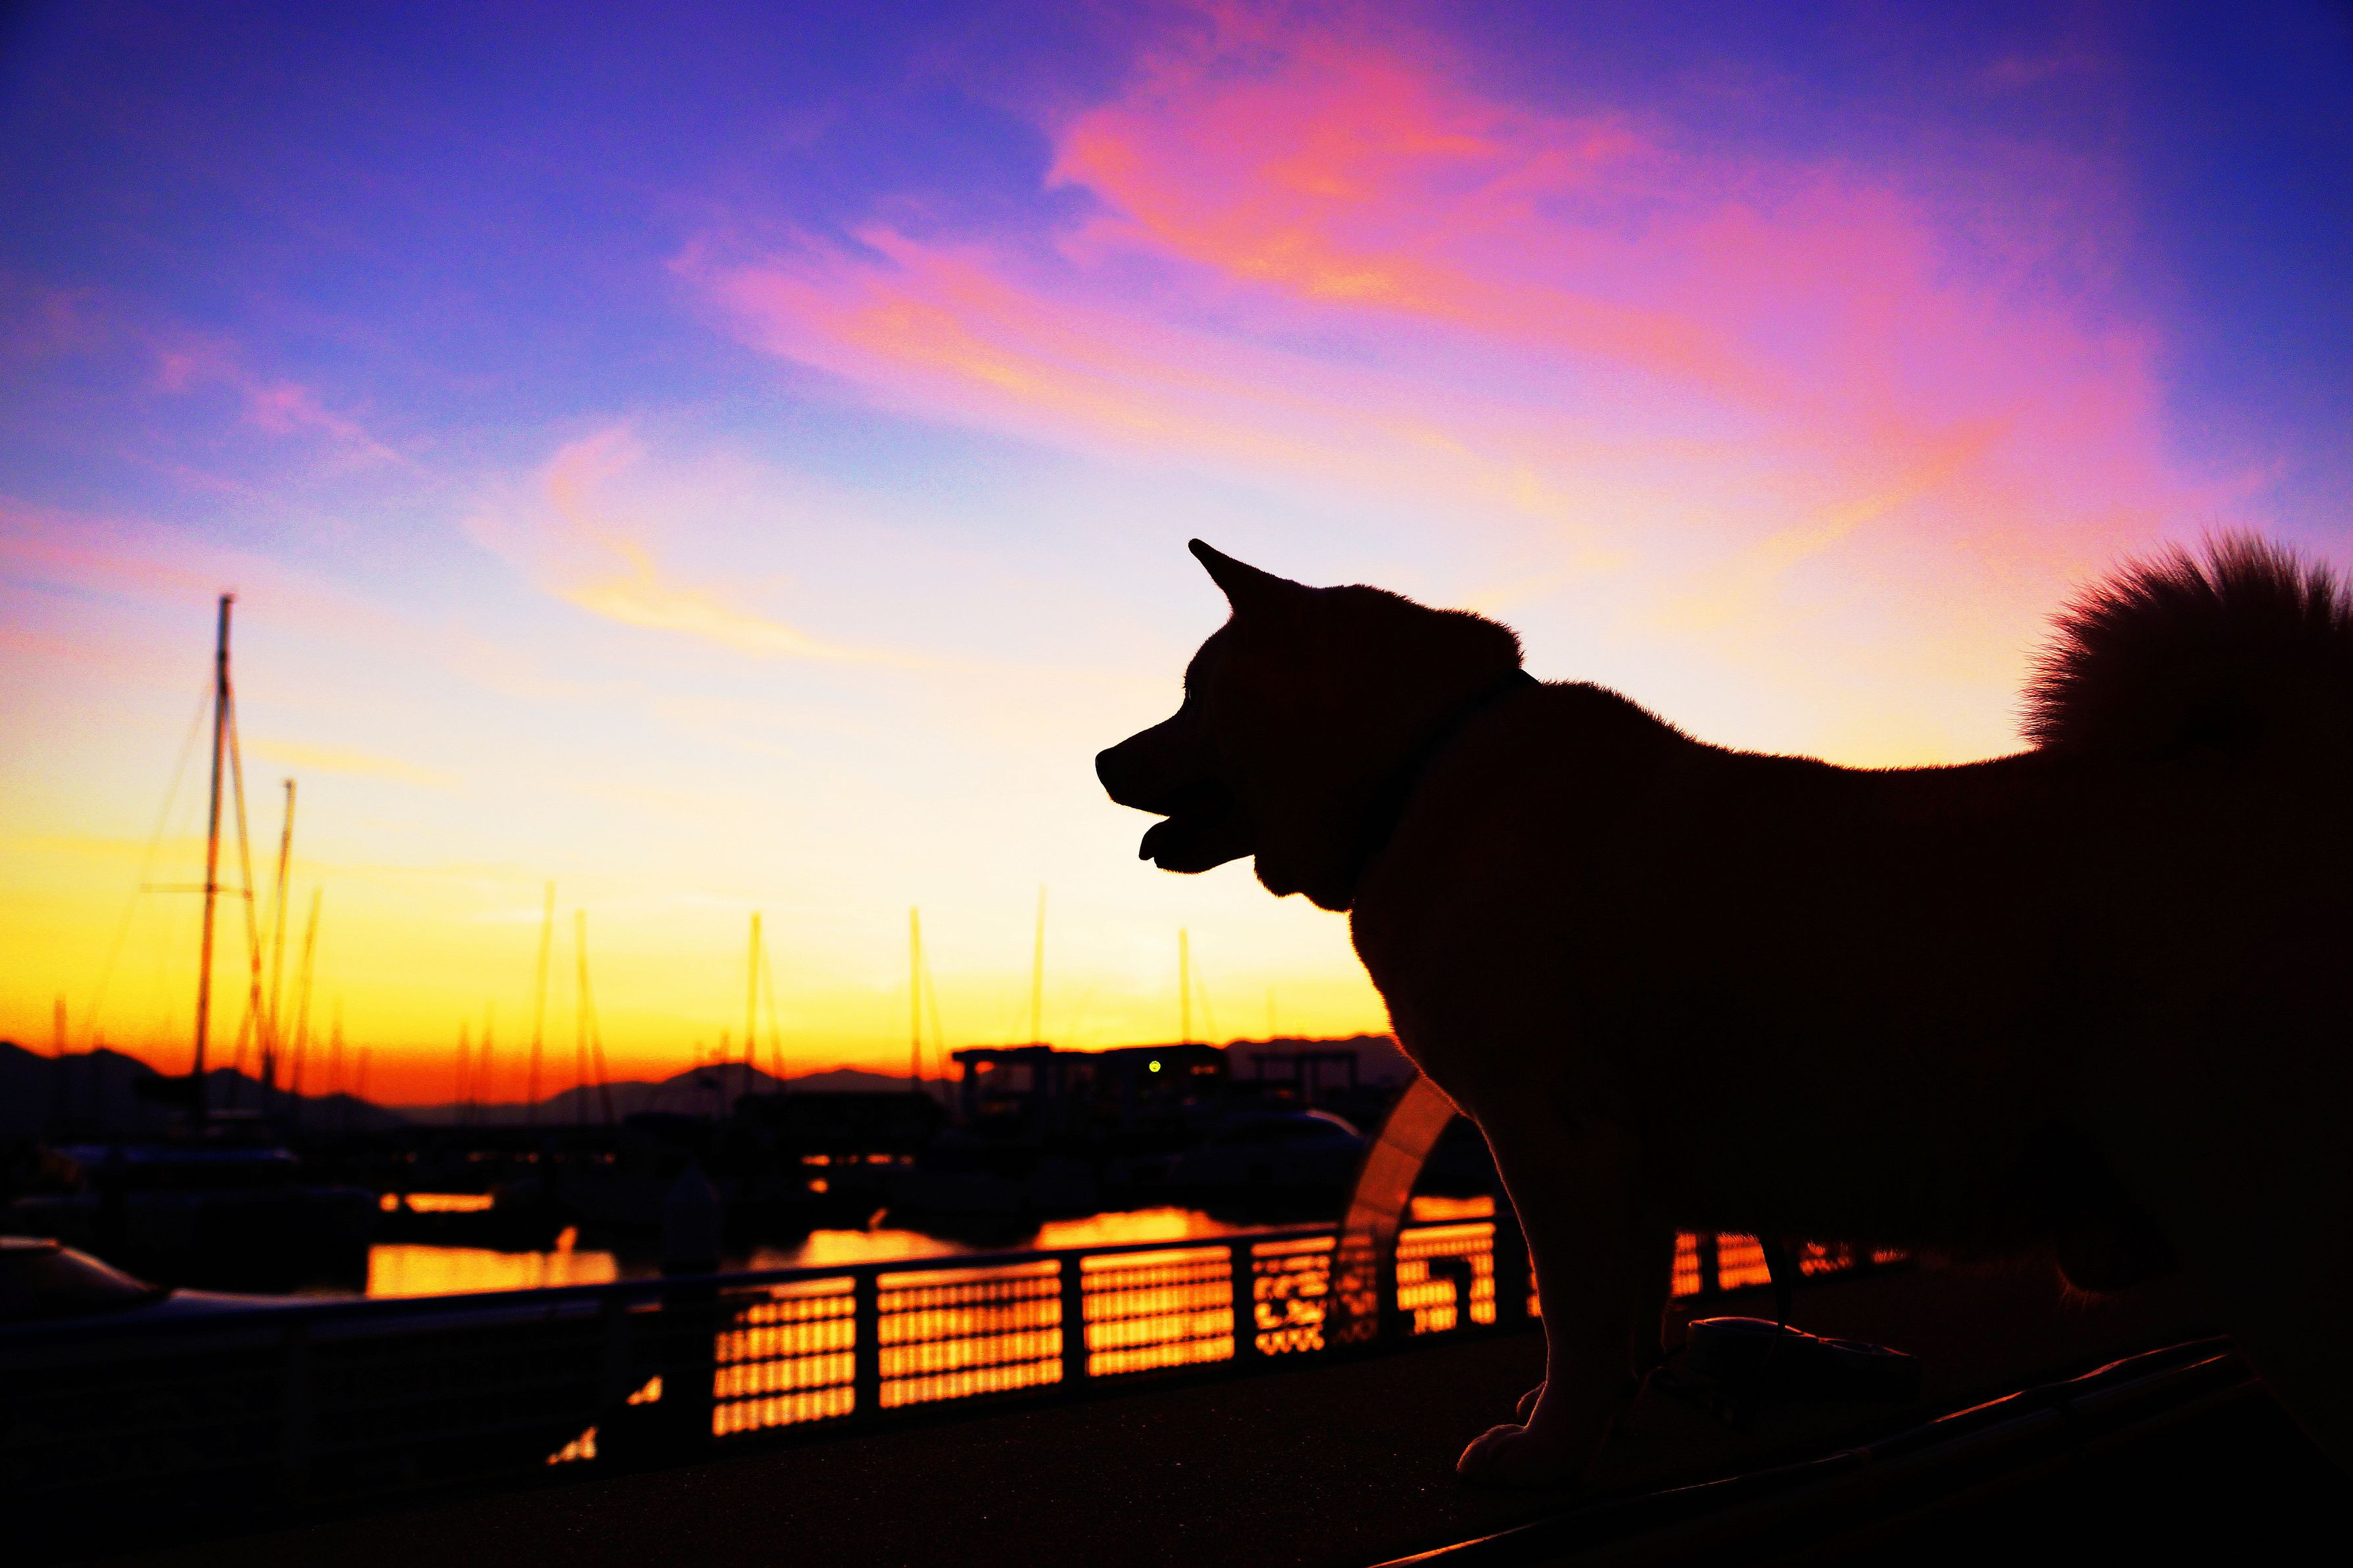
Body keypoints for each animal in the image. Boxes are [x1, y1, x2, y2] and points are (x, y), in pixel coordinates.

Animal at [1097, 537, 2353, 1485]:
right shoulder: (1620, 1166)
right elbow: (1624, 1319)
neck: (1416, 770)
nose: (1106, 758)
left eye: (1193, 695)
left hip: (2254, 1215)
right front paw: (1594, 1429)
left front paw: (1545, 1451)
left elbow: (1575, 1315)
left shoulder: (1550, 1140)